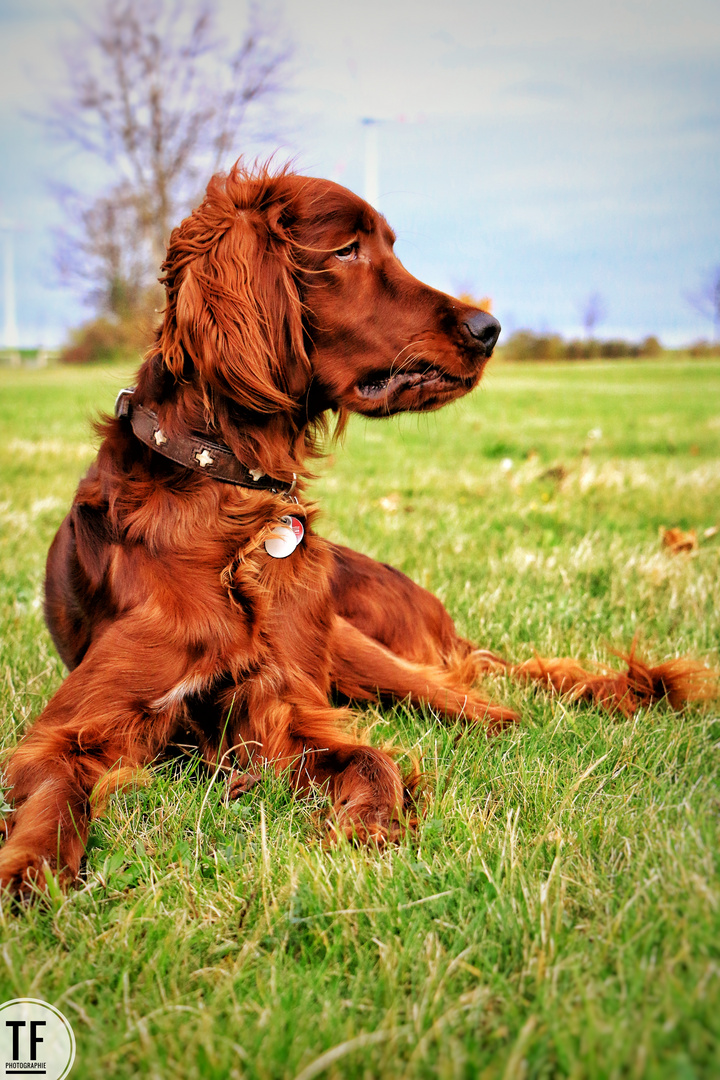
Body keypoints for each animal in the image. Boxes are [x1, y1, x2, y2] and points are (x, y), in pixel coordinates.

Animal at [0, 166, 708, 894]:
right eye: (345, 250)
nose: (489, 326)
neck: (227, 503)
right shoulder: (76, 727)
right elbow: (55, 791)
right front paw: (29, 871)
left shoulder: (281, 710)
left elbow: (372, 756)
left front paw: (368, 826)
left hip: (357, 647)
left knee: (484, 701)